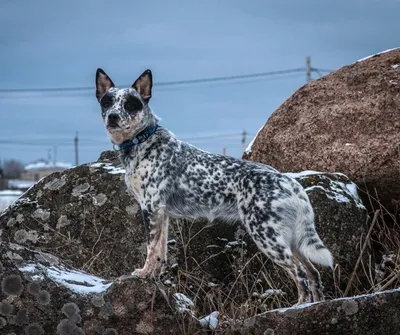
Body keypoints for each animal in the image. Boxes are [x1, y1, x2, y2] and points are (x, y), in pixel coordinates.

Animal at [95, 68, 332, 304]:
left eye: (130, 104)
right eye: (107, 102)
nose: (112, 116)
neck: (143, 141)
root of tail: (290, 182)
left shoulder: (151, 208)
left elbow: (151, 248)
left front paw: (144, 274)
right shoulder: (162, 214)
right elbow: (160, 252)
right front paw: (154, 276)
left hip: (268, 237)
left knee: (300, 273)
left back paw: (297, 305)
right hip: (292, 240)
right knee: (314, 273)